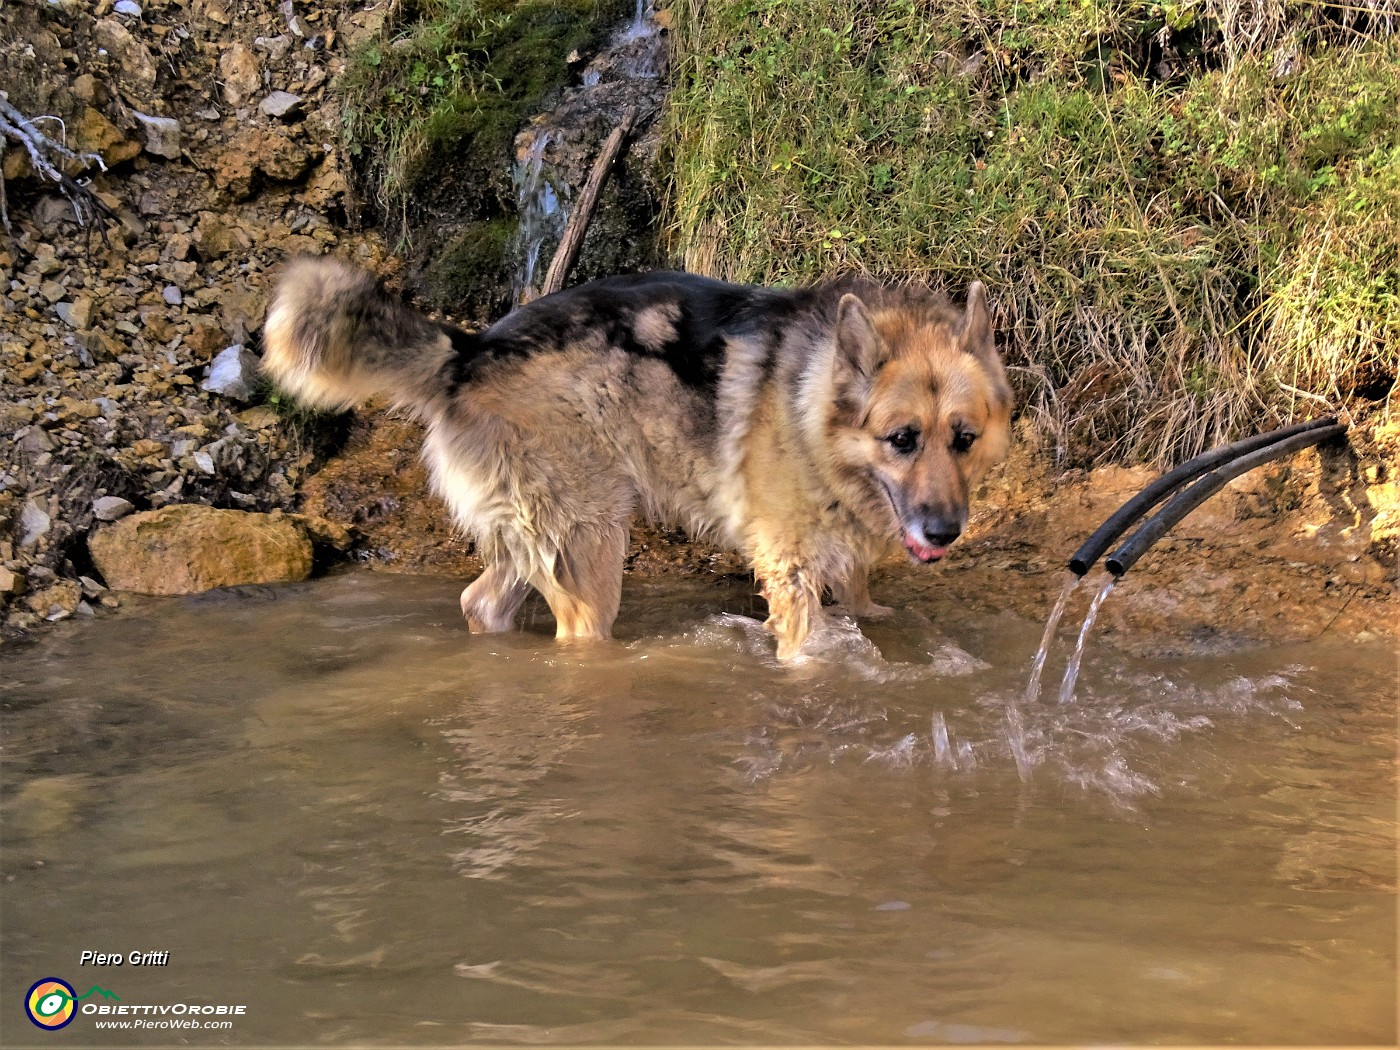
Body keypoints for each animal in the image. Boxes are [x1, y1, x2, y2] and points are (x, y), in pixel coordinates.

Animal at [264, 261, 1008, 658]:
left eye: (964, 439)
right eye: (901, 438)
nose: (945, 532)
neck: (810, 406)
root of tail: (470, 351)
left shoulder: (847, 564)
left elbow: (863, 602)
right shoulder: (789, 574)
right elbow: (808, 651)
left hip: (532, 539)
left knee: (481, 602)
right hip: (590, 544)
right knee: (574, 634)